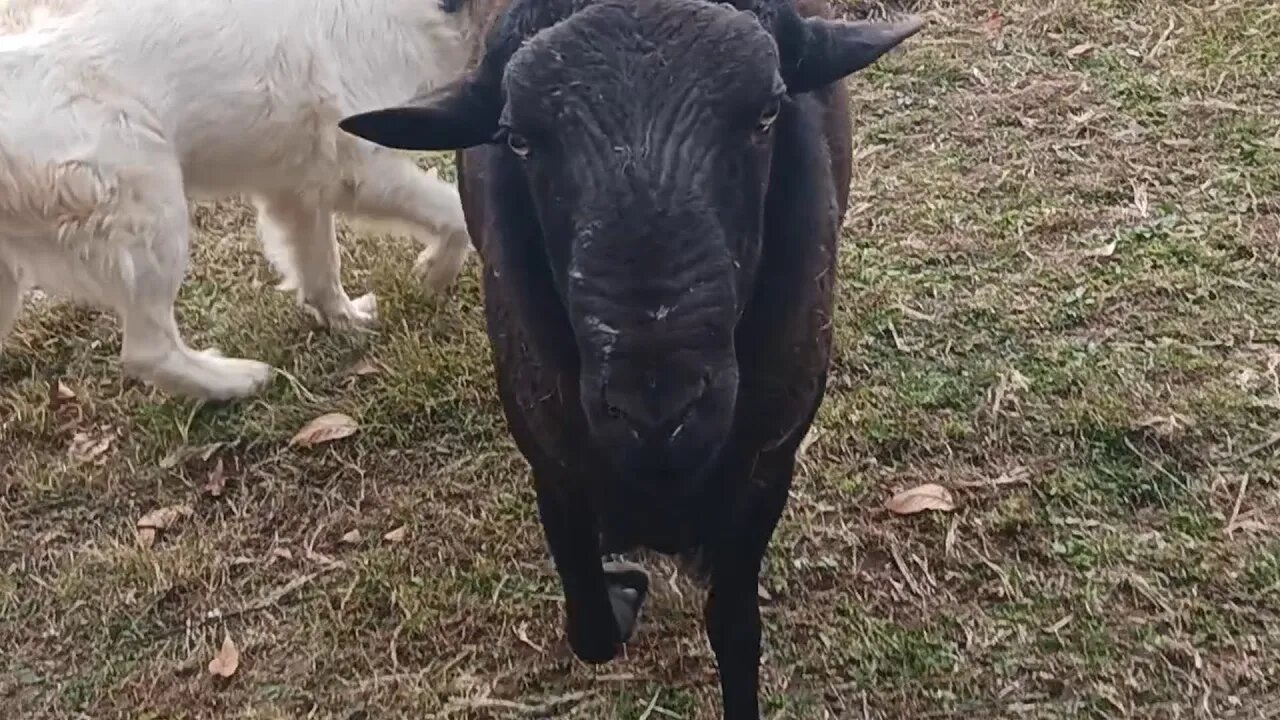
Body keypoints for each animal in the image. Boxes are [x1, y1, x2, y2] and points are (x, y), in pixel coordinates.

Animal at [0, 0, 476, 397]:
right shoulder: (361, 169)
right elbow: (456, 213)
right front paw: (435, 271)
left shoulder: (298, 189)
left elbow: (320, 268)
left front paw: (345, 321)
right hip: (151, 213)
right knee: (149, 352)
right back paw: (236, 381)